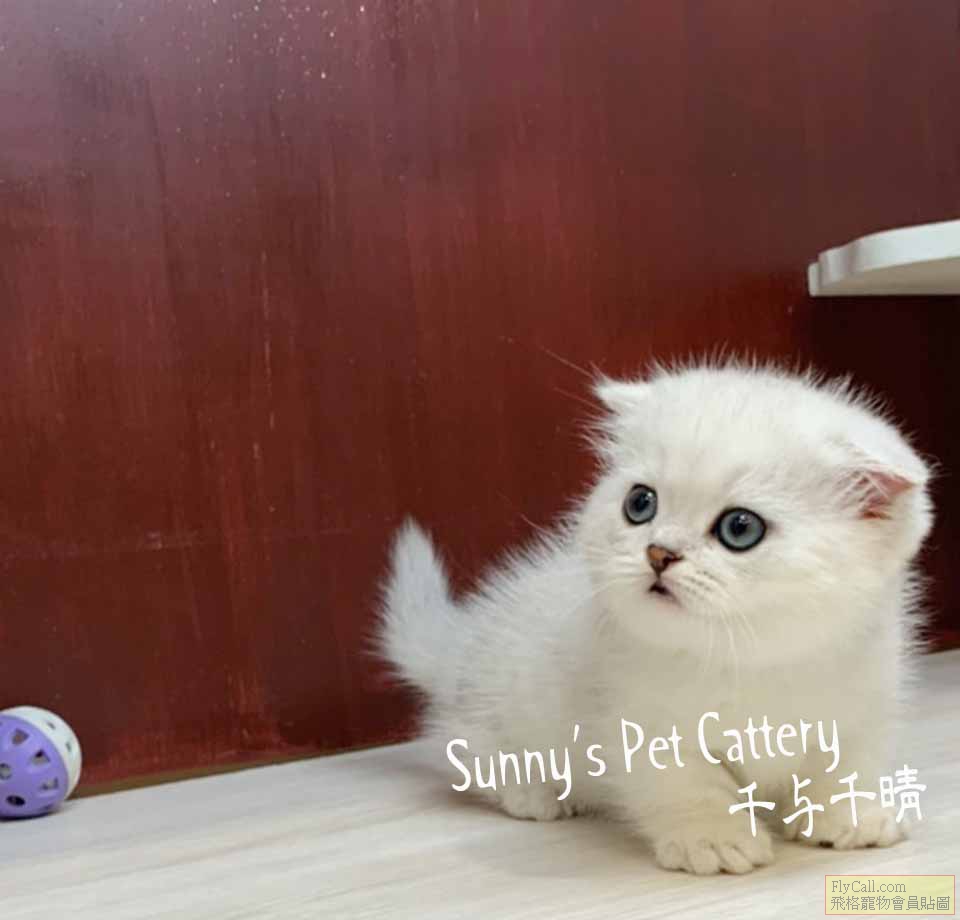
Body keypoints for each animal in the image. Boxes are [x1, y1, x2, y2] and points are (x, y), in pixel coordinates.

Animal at [378, 360, 933, 875]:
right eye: (640, 502)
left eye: (740, 527)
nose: (659, 552)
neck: (754, 659)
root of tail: (457, 653)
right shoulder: (640, 721)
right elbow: (687, 782)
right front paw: (712, 837)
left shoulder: (863, 699)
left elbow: (844, 765)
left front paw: (851, 814)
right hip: (503, 707)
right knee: (469, 749)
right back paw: (535, 794)